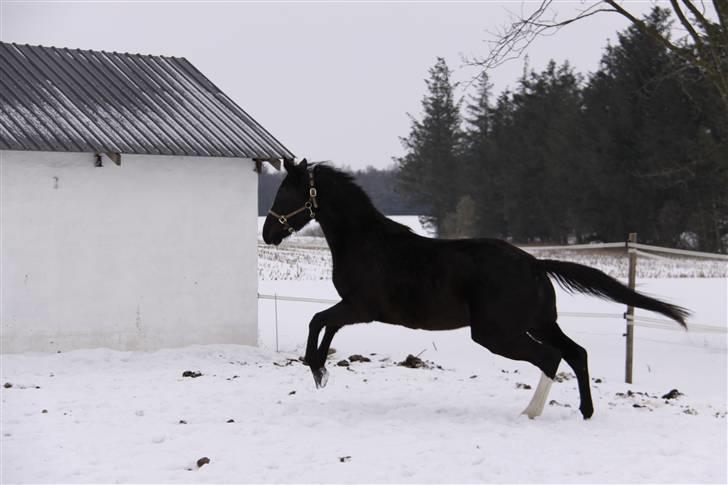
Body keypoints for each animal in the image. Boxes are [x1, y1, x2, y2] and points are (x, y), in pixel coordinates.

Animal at [264, 158, 688, 416]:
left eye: (285, 193)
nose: (268, 233)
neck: (366, 242)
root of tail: (535, 264)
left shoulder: (361, 308)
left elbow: (319, 321)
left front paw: (316, 368)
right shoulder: (355, 309)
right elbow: (325, 324)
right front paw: (320, 370)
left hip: (497, 333)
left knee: (551, 358)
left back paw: (530, 412)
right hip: (538, 323)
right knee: (576, 353)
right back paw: (585, 411)